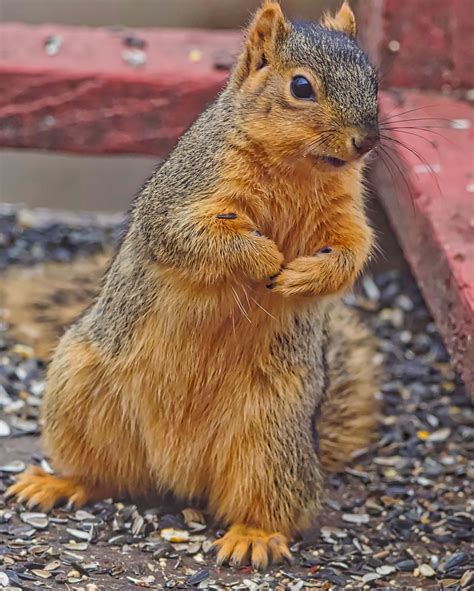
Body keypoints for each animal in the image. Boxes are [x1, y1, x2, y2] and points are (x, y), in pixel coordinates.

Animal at [7, 1, 380, 572]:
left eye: (375, 78)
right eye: (301, 86)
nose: (367, 140)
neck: (298, 167)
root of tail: (178, 472)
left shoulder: (347, 215)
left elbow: (350, 255)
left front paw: (300, 275)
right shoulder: (187, 194)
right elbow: (196, 237)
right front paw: (266, 257)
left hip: (271, 440)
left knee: (273, 505)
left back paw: (254, 535)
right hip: (80, 393)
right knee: (103, 474)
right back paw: (56, 483)